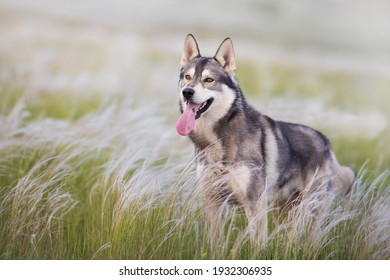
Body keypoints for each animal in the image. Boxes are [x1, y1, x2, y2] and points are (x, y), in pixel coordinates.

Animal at [177, 32, 356, 243]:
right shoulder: (213, 203)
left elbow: (257, 245)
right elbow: (215, 244)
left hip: (308, 211)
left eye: (209, 80)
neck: (217, 142)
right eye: (187, 77)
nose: (187, 92)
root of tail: (325, 140)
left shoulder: (254, 204)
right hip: (284, 210)